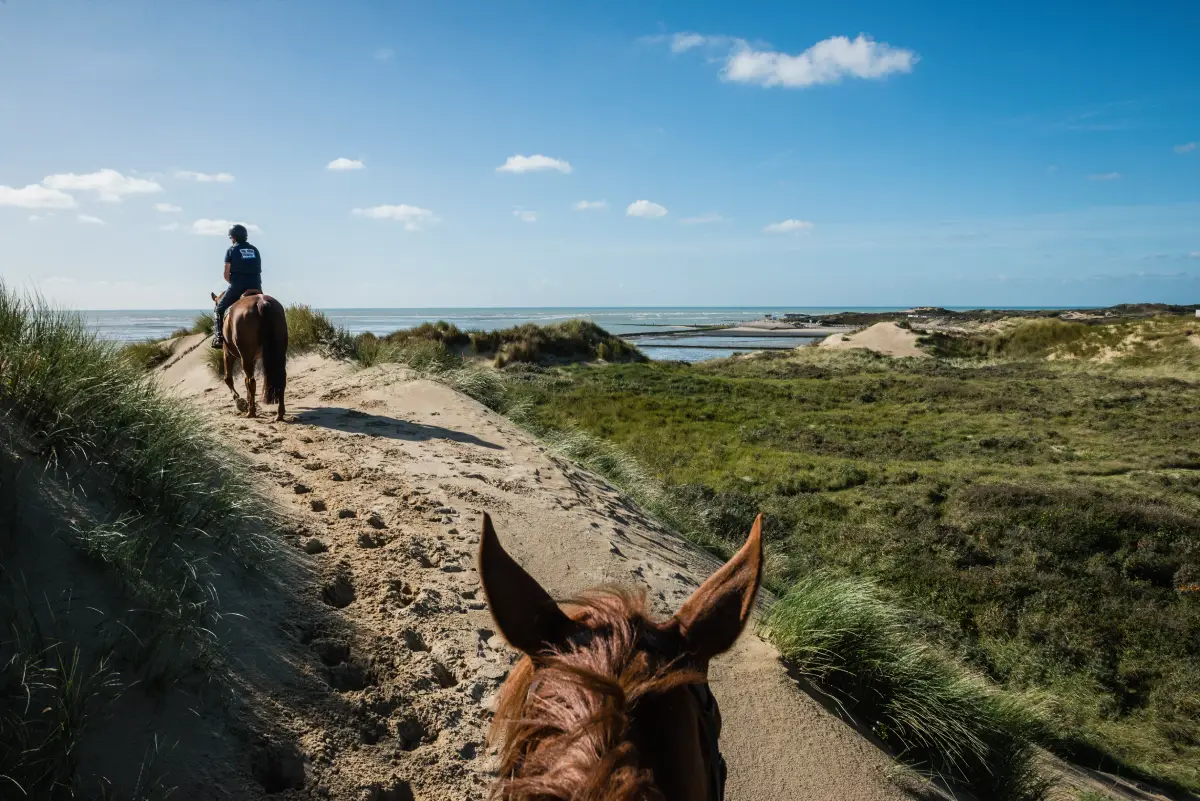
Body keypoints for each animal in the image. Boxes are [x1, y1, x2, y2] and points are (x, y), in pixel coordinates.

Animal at [208, 288, 288, 424]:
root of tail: (262, 303)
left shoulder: (228, 353)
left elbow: (228, 378)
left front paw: (239, 401)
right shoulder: (253, 358)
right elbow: (244, 381)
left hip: (245, 356)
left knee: (251, 381)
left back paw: (251, 412)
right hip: (278, 352)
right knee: (280, 379)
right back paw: (279, 414)